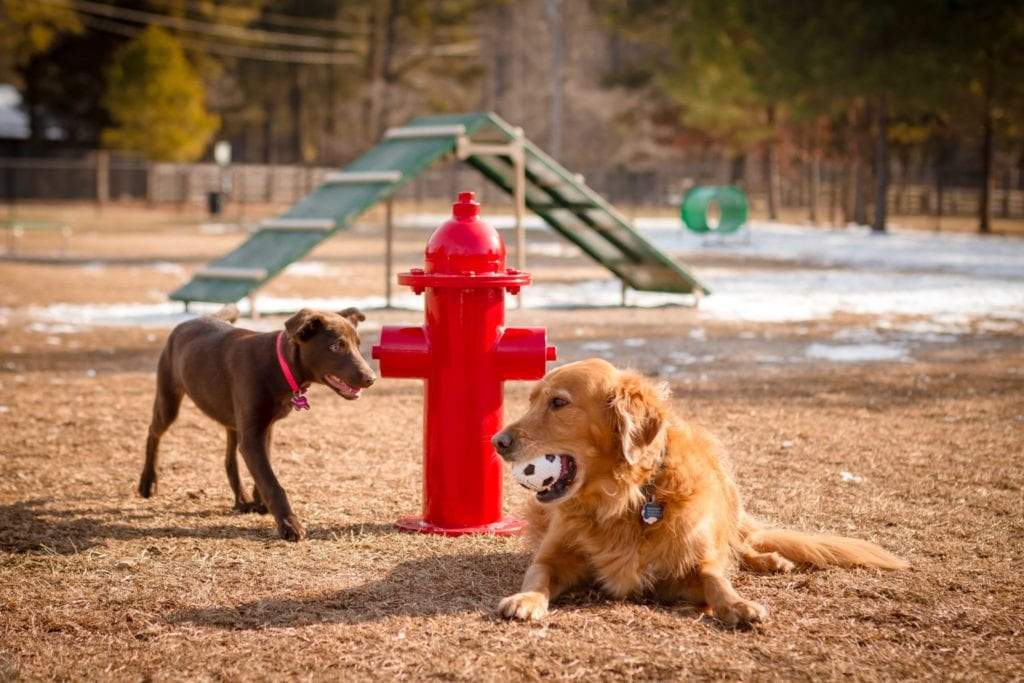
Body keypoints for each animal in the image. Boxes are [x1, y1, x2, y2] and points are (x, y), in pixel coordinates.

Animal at [137, 307, 376, 540]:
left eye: (358, 345)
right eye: (336, 346)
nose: (371, 378)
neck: (279, 365)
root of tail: (199, 317)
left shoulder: (265, 427)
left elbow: (263, 468)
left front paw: (259, 501)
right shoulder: (252, 436)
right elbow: (271, 482)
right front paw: (289, 524)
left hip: (232, 419)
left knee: (229, 459)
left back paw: (241, 499)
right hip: (168, 401)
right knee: (153, 433)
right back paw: (148, 482)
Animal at [491, 360, 909, 626]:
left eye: (559, 402)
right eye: (531, 401)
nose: (497, 441)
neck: (625, 499)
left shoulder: (690, 566)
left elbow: (715, 579)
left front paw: (739, 605)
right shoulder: (553, 556)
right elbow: (538, 575)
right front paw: (525, 600)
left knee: (740, 547)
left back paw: (769, 560)